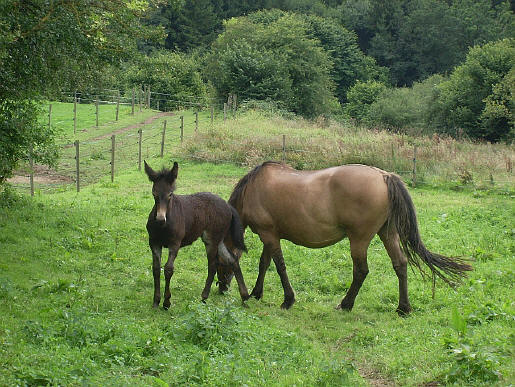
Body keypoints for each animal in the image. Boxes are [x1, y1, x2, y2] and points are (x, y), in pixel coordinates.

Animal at [144, 162, 251, 310]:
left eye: (170, 194)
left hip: (211, 240)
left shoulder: (174, 244)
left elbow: (168, 269)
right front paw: (156, 301)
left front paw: (166, 302)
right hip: (219, 239)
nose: (160, 219)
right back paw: (244, 296)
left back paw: (204, 297)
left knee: (213, 265)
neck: (164, 226)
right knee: (233, 260)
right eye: (154, 193)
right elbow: (156, 269)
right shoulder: (154, 243)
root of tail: (227, 205)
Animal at [226, 161, 472, 316]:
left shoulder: (269, 234)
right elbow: (264, 263)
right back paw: (403, 308)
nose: (222, 287)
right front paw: (257, 293)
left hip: (359, 240)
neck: (253, 189)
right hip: (387, 233)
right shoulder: (270, 235)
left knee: (361, 271)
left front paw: (287, 300)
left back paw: (346, 304)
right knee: (400, 264)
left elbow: (279, 266)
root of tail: (384, 176)